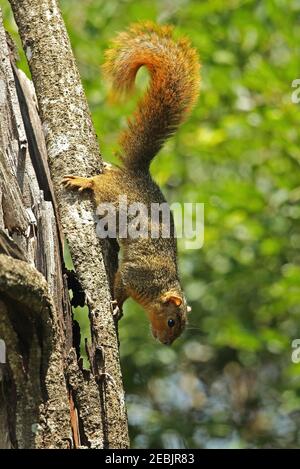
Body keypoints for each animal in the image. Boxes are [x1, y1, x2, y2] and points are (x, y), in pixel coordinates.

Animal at [62, 22, 200, 344]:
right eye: (172, 321)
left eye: (180, 327)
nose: (165, 341)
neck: (159, 288)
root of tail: (136, 174)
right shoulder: (135, 275)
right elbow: (120, 284)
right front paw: (115, 306)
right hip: (110, 194)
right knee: (98, 184)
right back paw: (84, 180)